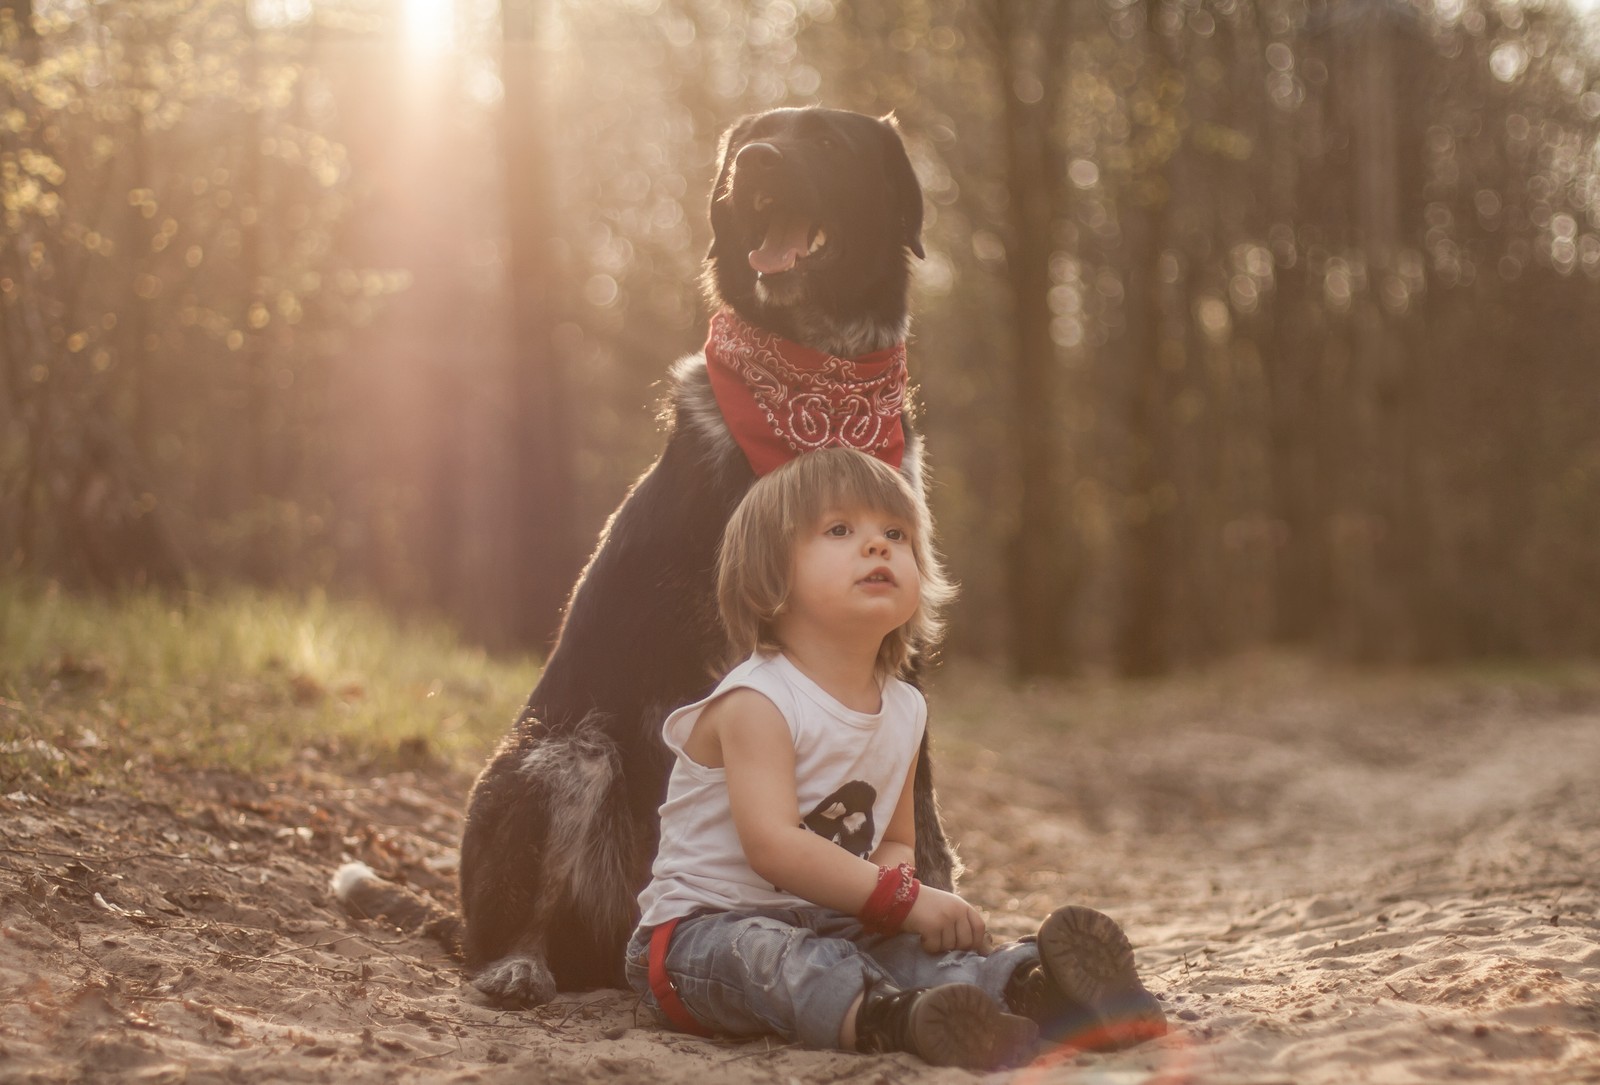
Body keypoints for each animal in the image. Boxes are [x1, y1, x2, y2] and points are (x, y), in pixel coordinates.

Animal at [366, 106, 953, 1004]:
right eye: (757, 135)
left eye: (827, 139)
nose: (756, 162)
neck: (820, 391)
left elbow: (917, 797)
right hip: (566, 757)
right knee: (521, 921)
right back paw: (519, 963)